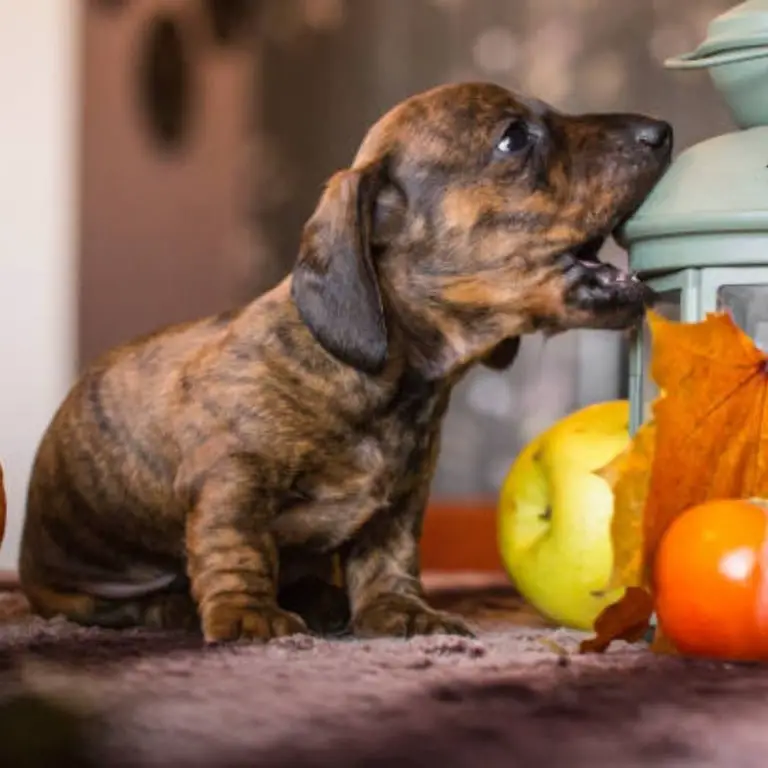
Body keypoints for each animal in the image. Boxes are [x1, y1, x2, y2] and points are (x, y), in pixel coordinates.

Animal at [18, 82, 672, 640]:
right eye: (513, 137)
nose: (661, 129)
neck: (386, 383)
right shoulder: (230, 479)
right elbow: (237, 550)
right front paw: (250, 616)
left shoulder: (400, 504)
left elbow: (388, 560)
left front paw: (401, 611)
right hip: (78, 591)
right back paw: (177, 607)